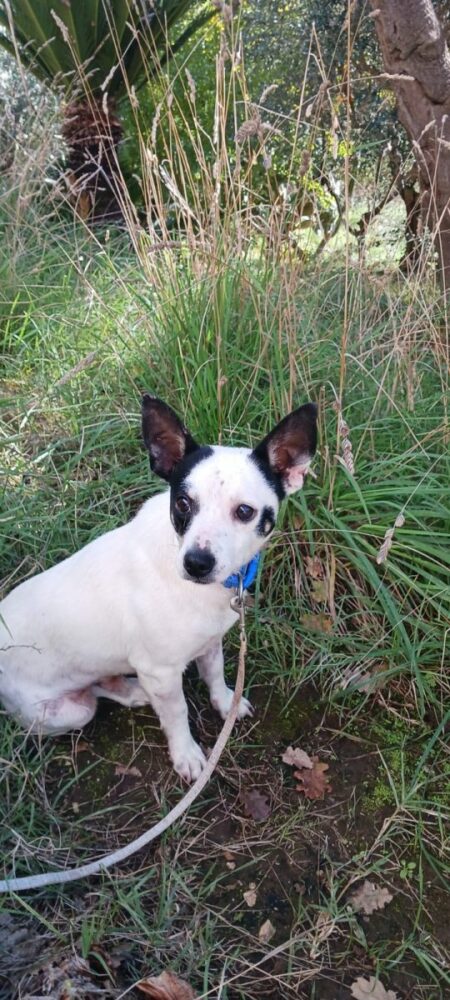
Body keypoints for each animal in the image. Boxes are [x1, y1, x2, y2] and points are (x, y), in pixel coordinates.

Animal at [0, 396, 317, 781]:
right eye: (182, 503)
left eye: (245, 511)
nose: (196, 562)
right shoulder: (161, 672)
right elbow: (178, 713)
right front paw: (186, 754)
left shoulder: (210, 642)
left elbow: (214, 673)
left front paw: (224, 702)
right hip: (65, 714)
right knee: (93, 696)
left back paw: (134, 691)